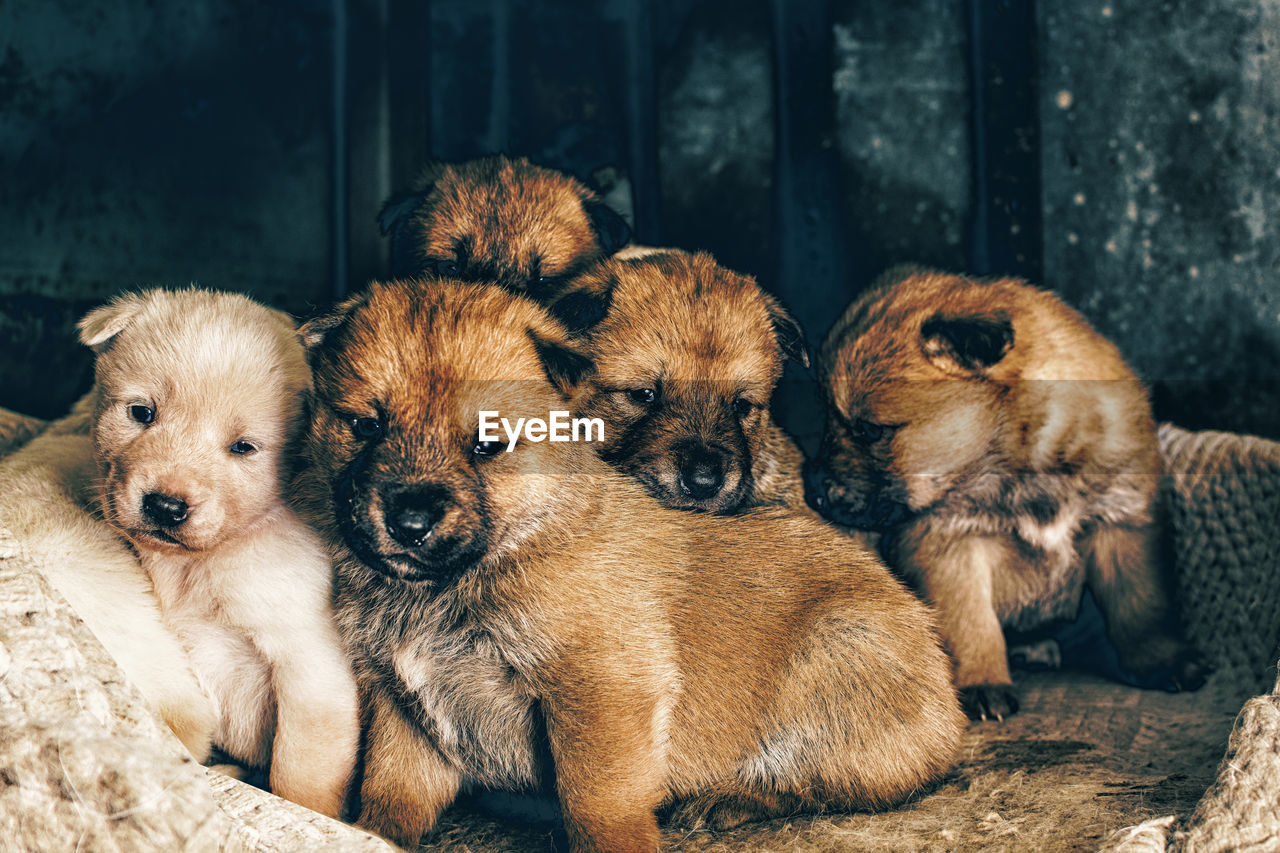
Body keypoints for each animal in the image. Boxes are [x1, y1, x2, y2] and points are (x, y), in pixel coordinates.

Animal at [78, 289, 360, 814]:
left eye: (243, 447)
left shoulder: (310, 666)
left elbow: (300, 776)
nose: (165, 506)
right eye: (141, 413)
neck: (201, 562)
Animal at [296, 277, 962, 850]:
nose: (409, 520)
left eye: (487, 443)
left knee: (841, 782)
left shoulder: (601, 690)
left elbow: (599, 805)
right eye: (364, 425)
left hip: (834, 655)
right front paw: (364, 835)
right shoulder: (403, 704)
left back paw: (730, 798)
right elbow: (392, 793)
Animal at [808, 267, 1208, 717]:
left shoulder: (1121, 524)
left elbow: (1141, 606)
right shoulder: (949, 546)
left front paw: (1162, 661)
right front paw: (983, 682)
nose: (815, 491)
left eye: (870, 430)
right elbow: (971, 621)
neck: (1026, 457)